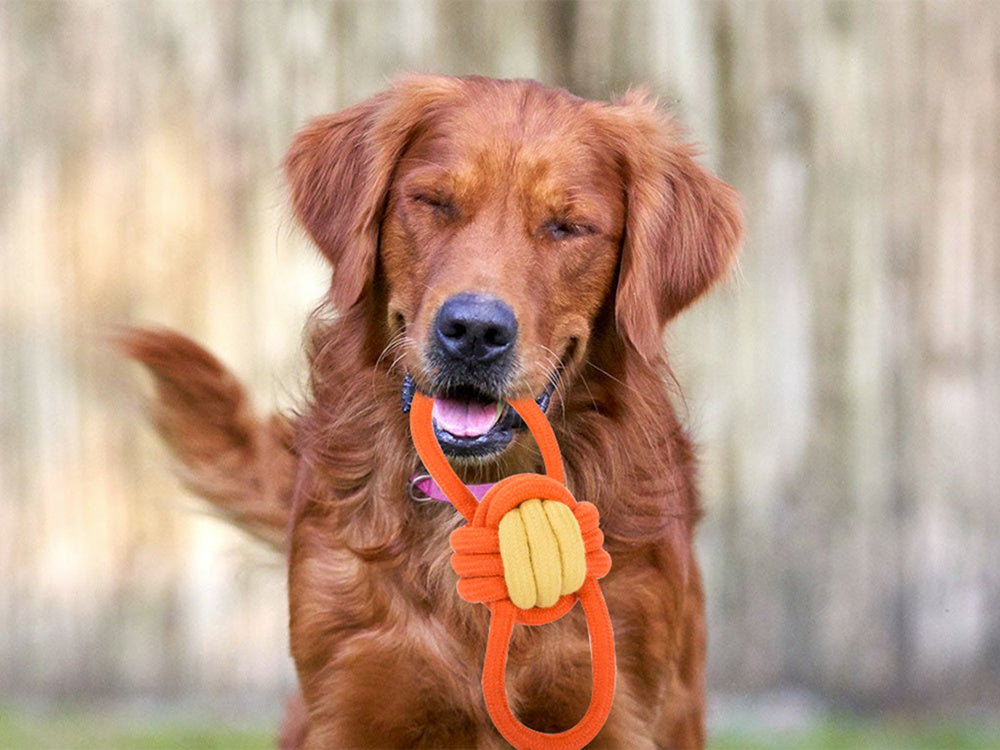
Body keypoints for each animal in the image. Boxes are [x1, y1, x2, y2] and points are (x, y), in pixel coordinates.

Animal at [119, 72, 744, 750]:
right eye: (434, 203)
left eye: (567, 227)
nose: (473, 331)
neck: (481, 496)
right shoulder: (354, 699)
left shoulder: (614, 706)